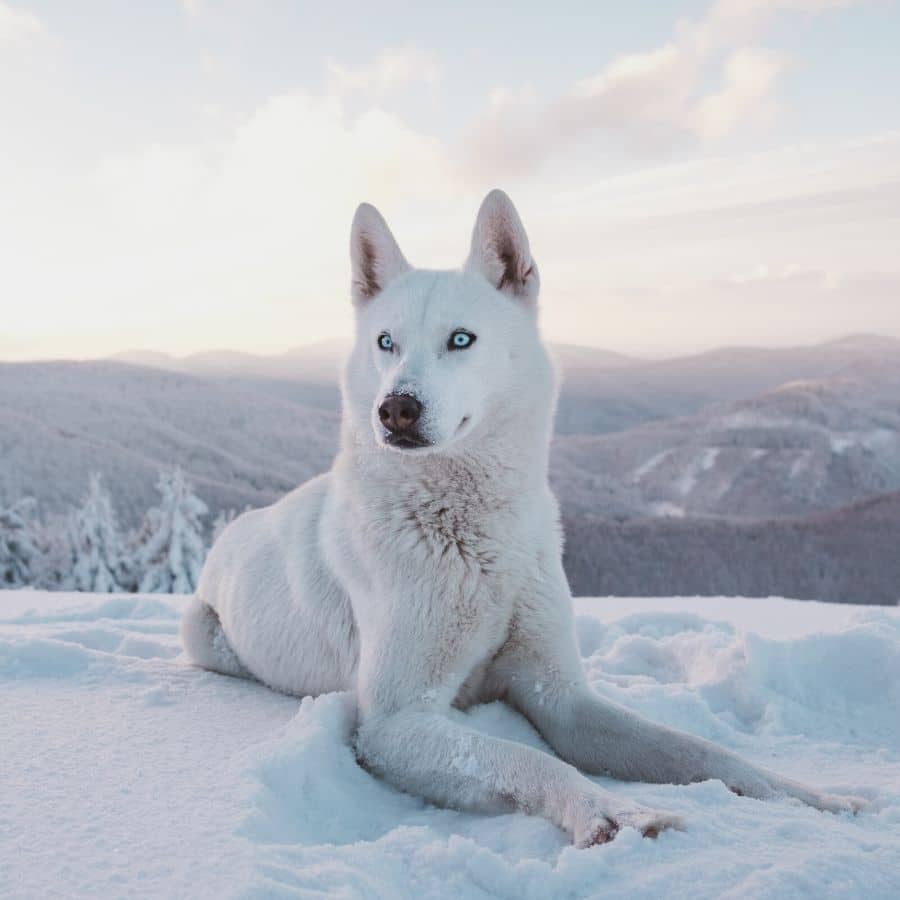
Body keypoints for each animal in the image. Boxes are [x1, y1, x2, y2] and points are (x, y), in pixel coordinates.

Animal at [185, 190, 864, 844]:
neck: (476, 538)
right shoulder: (397, 722)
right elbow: (528, 759)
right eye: (386, 343)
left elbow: (701, 751)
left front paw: (810, 797)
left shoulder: (561, 697)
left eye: (461, 339)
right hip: (204, 635)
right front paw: (612, 812)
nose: (395, 408)